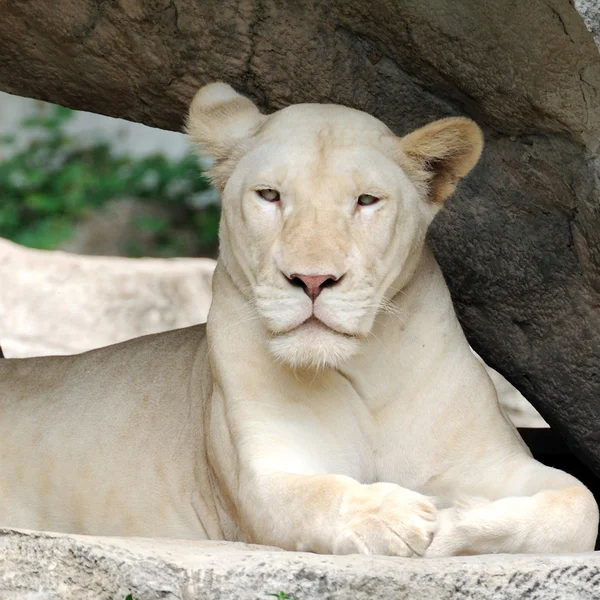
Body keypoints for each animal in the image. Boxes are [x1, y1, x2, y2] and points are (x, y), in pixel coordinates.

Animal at [0, 82, 596, 556]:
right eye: (270, 195)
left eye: (366, 201)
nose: (311, 280)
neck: (365, 372)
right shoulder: (264, 473)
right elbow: (320, 493)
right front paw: (400, 518)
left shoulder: (488, 458)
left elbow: (579, 501)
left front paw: (458, 522)